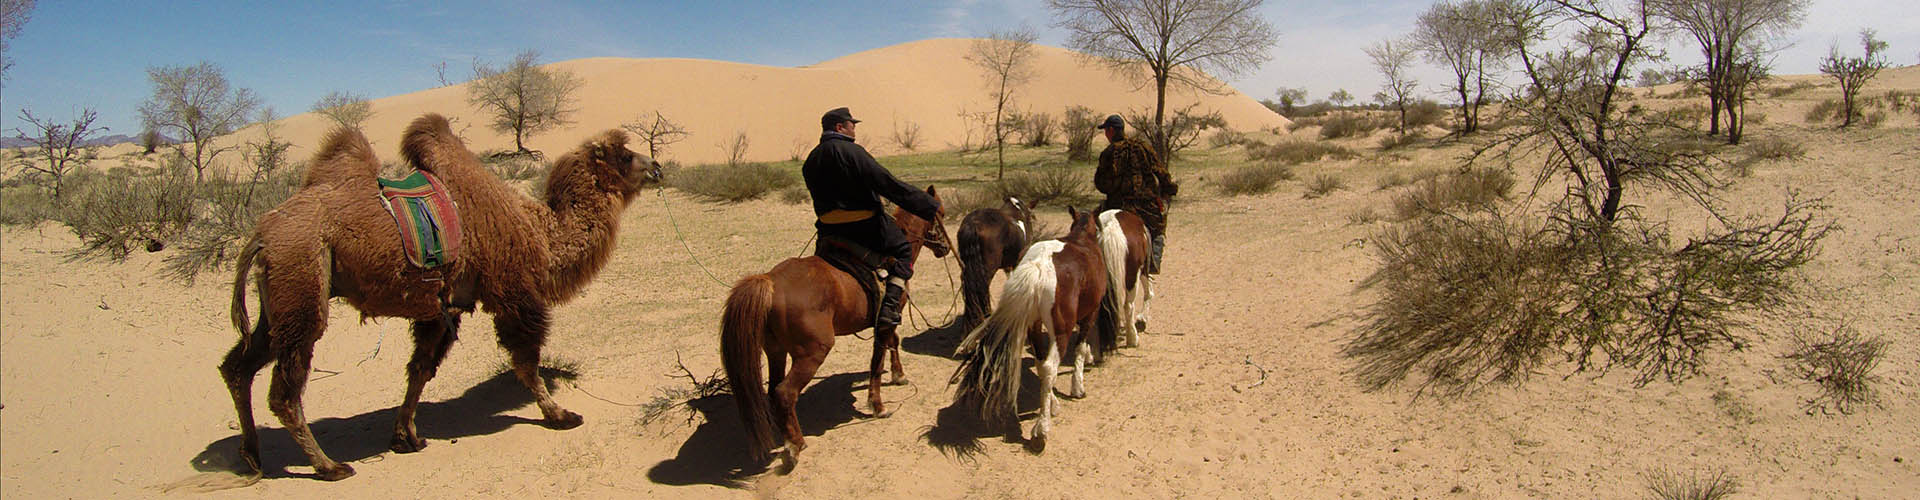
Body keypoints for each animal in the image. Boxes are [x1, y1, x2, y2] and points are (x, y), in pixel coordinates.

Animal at [721, 185, 952, 467]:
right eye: (941, 213)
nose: (946, 247)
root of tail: (770, 280)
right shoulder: (887, 317)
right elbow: (877, 360)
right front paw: (878, 405)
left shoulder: (889, 318)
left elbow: (892, 344)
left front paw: (898, 375)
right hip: (813, 352)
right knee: (785, 392)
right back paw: (795, 445)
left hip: (775, 350)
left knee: (774, 390)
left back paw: (784, 434)